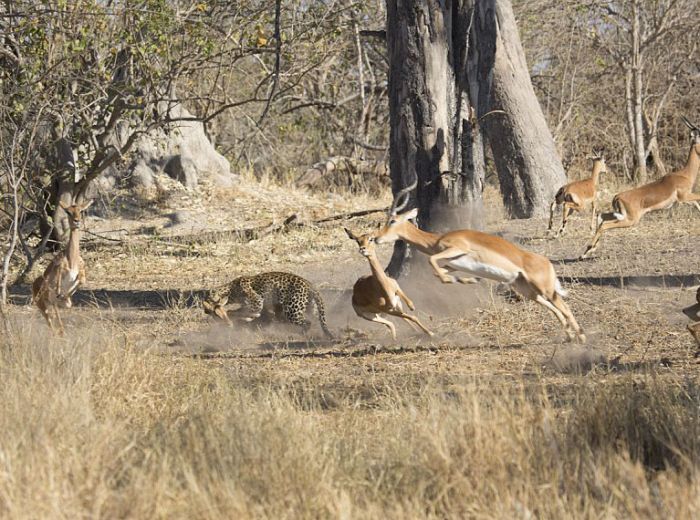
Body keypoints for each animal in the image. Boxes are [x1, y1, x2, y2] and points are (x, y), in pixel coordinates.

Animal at [202, 270, 334, 340]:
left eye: (206, 304)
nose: (205, 310)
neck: (230, 291)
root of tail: (310, 284)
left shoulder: (257, 302)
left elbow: (236, 311)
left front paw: (229, 317)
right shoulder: (260, 307)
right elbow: (249, 313)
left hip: (292, 311)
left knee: (307, 323)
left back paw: (299, 335)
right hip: (310, 308)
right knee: (317, 321)